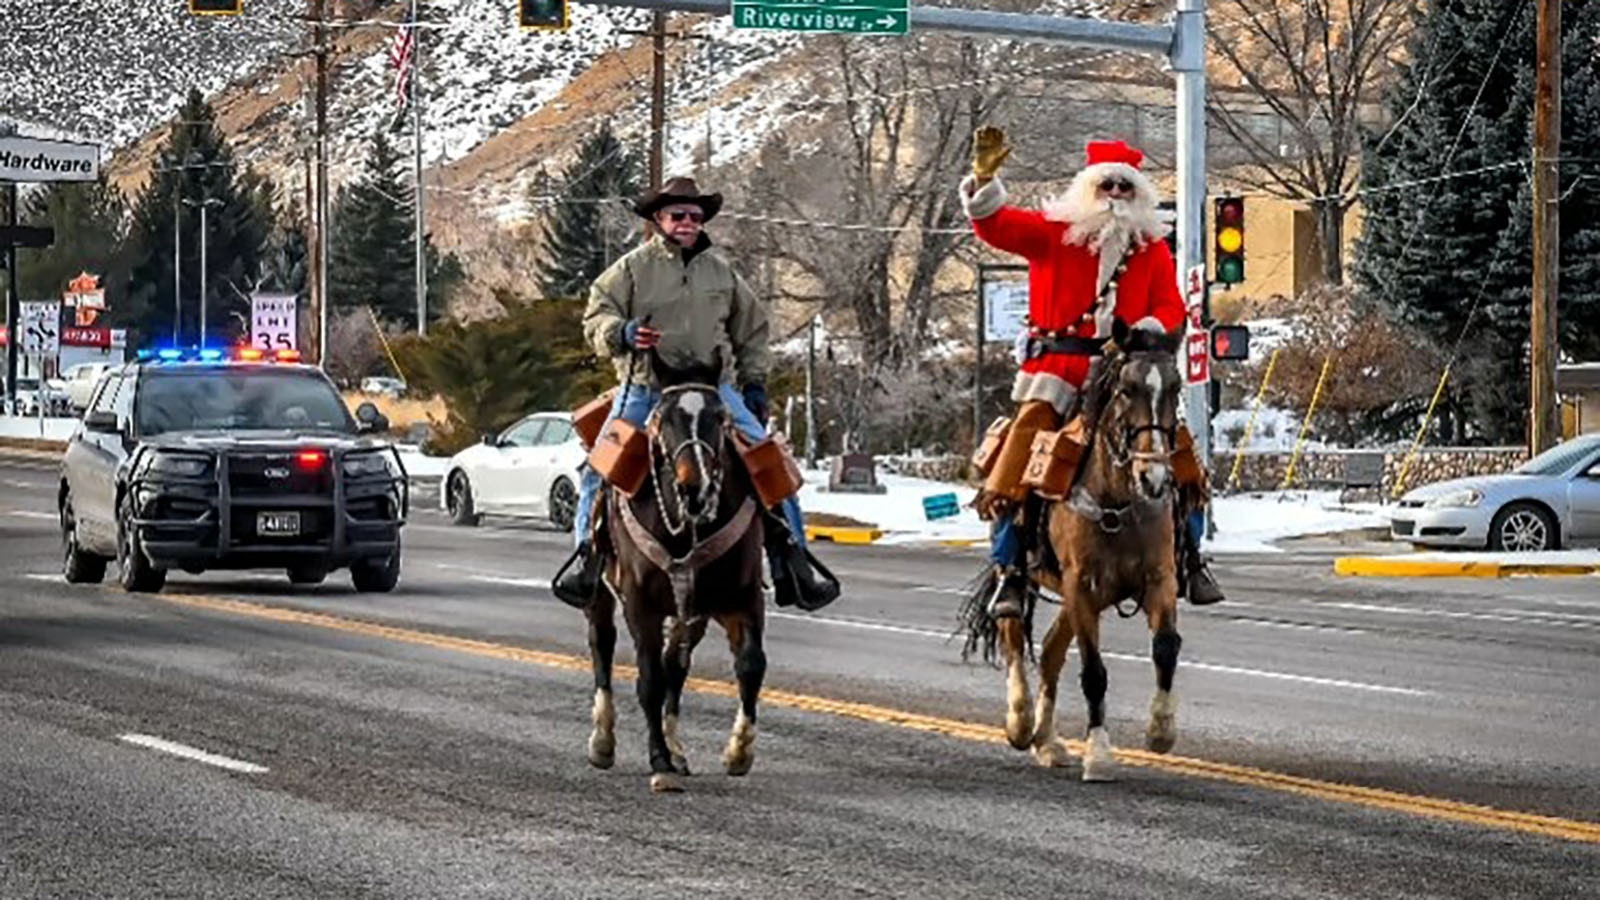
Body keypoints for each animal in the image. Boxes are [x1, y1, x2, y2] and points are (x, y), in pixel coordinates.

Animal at [585, 353, 764, 787]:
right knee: (602, 644)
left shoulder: (742, 598)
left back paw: (678, 749)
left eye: (720, 416)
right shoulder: (640, 604)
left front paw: (739, 751)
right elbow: (649, 679)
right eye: (663, 418)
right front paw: (659, 761)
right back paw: (603, 741)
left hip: (689, 613)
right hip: (600, 594)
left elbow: (750, 665)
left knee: (675, 665)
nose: (694, 488)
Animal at [953, 321, 1184, 778]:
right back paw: (1022, 722)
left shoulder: (1157, 579)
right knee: (1012, 633)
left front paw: (1161, 731)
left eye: (1177, 386)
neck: (1117, 502)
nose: (1153, 477)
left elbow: (1166, 648)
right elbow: (1094, 672)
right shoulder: (1081, 586)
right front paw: (1098, 753)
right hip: (1025, 578)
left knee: (1049, 653)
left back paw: (1048, 741)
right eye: (1127, 388)